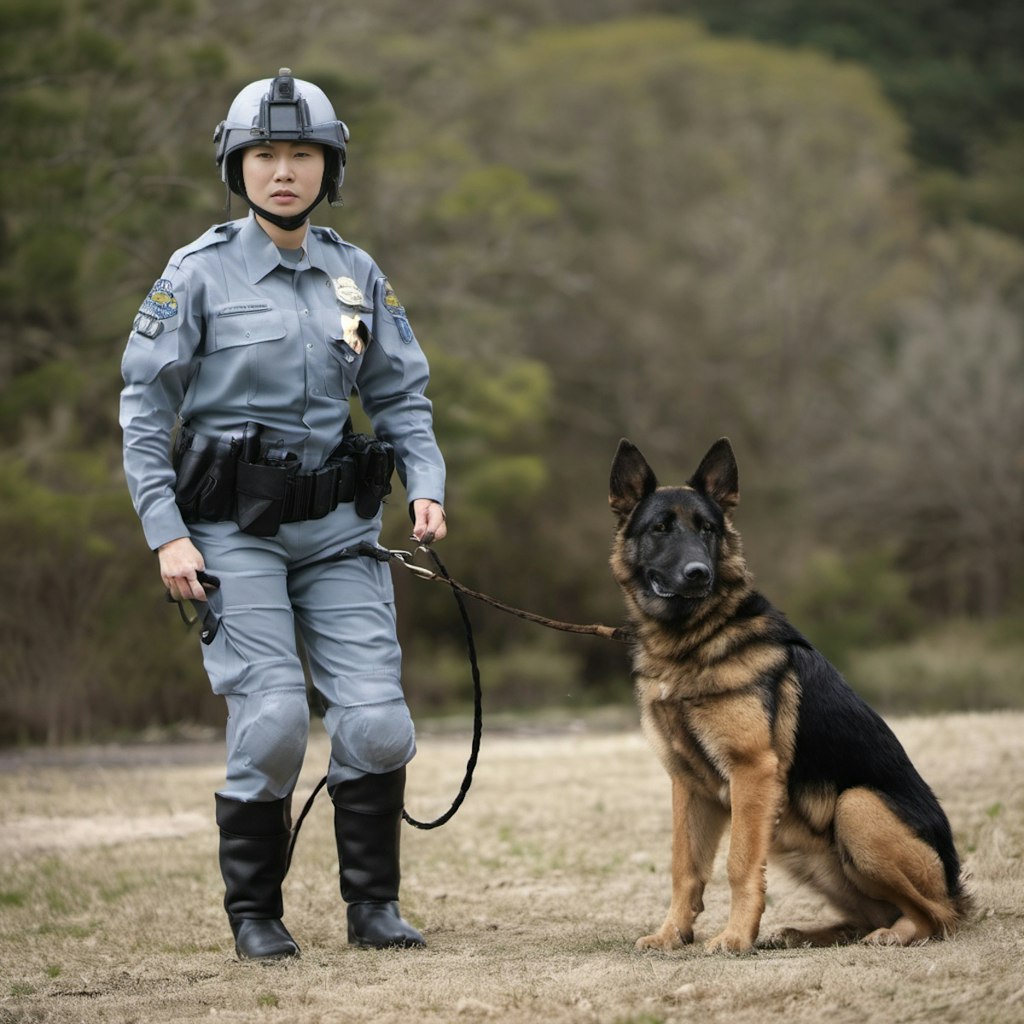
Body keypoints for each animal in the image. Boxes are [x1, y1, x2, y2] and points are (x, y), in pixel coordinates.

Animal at [606, 438, 966, 950]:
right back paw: (801, 933)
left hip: (855, 808)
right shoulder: (687, 785)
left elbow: (738, 865)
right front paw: (672, 934)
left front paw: (735, 938)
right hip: (801, 848)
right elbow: (684, 867)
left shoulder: (751, 773)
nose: (698, 573)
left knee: (935, 917)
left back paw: (894, 935)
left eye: (708, 530)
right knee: (868, 915)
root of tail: (955, 887)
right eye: (660, 528)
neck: (692, 643)